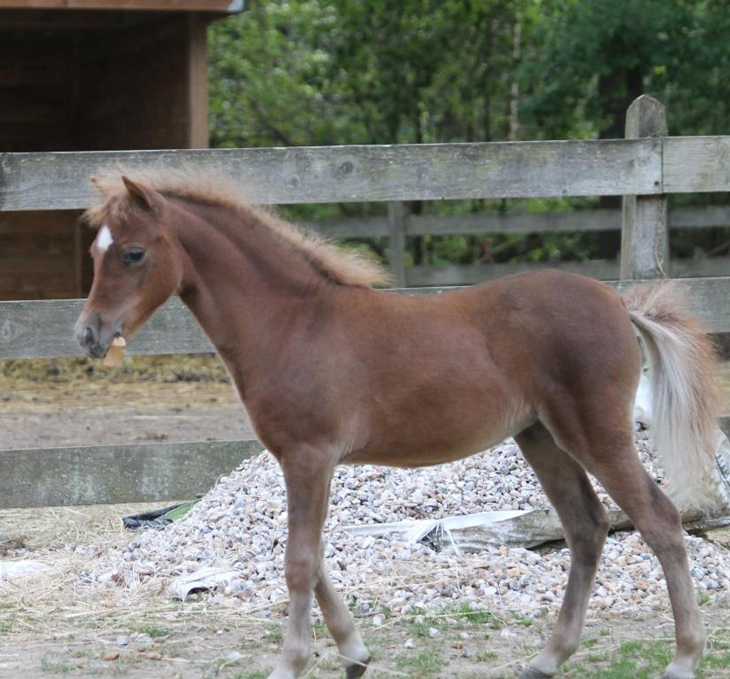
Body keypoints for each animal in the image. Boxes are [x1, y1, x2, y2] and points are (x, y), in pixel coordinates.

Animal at [75, 174, 716, 679]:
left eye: (133, 254)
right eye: (96, 252)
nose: (89, 334)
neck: (291, 324)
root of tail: (619, 303)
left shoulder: (309, 457)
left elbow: (299, 562)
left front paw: (291, 663)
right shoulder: (302, 462)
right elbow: (312, 555)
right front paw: (354, 653)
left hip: (595, 434)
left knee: (660, 521)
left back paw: (683, 658)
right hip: (542, 438)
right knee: (587, 529)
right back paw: (547, 658)